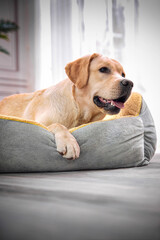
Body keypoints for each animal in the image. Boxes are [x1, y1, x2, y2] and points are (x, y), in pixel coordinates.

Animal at [0, 53, 133, 160]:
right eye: (104, 69)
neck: (78, 110)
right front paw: (69, 143)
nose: (129, 83)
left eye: (123, 74)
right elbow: (58, 125)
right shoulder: (40, 123)